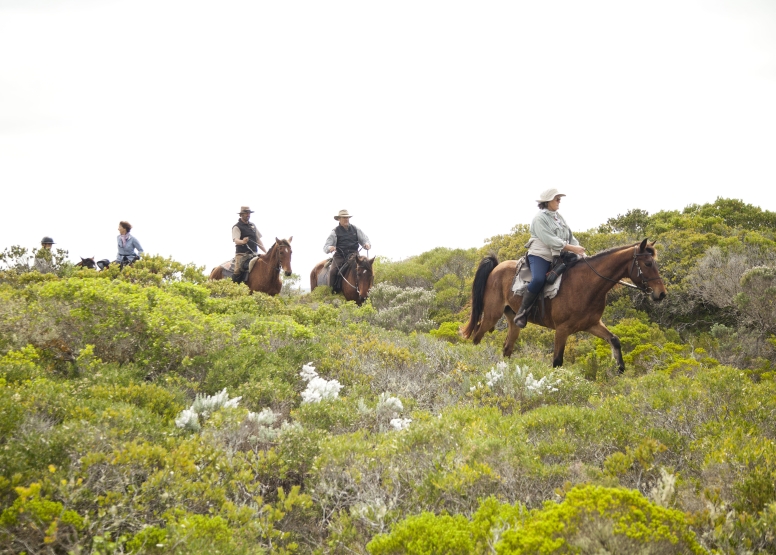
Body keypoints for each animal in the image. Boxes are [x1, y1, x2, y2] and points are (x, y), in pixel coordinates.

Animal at [460, 239, 668, 374]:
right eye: (648, 263)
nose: (661, 294)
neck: (587, 283)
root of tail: (496, 267)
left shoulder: (592, 325)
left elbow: (615, 340)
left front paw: (620, 369)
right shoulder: (562, 330)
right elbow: (557, 361)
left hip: (513, 321)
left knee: (507, 349)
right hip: (491, 316)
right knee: (477, 338)